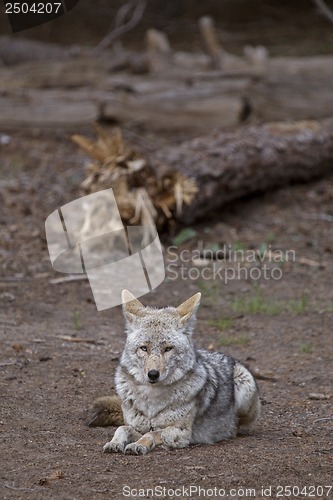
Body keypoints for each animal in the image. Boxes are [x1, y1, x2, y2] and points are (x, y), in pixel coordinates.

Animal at [87, 292, 260, 456]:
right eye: (144, 348)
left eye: (168, 349)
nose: (153, 374)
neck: (151, 400)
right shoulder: (137, 426)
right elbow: (122, 428)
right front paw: (114, 443)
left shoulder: (181, 432)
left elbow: (151, 434)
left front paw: (137, 445)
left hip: (245, 389)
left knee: (237, 426)